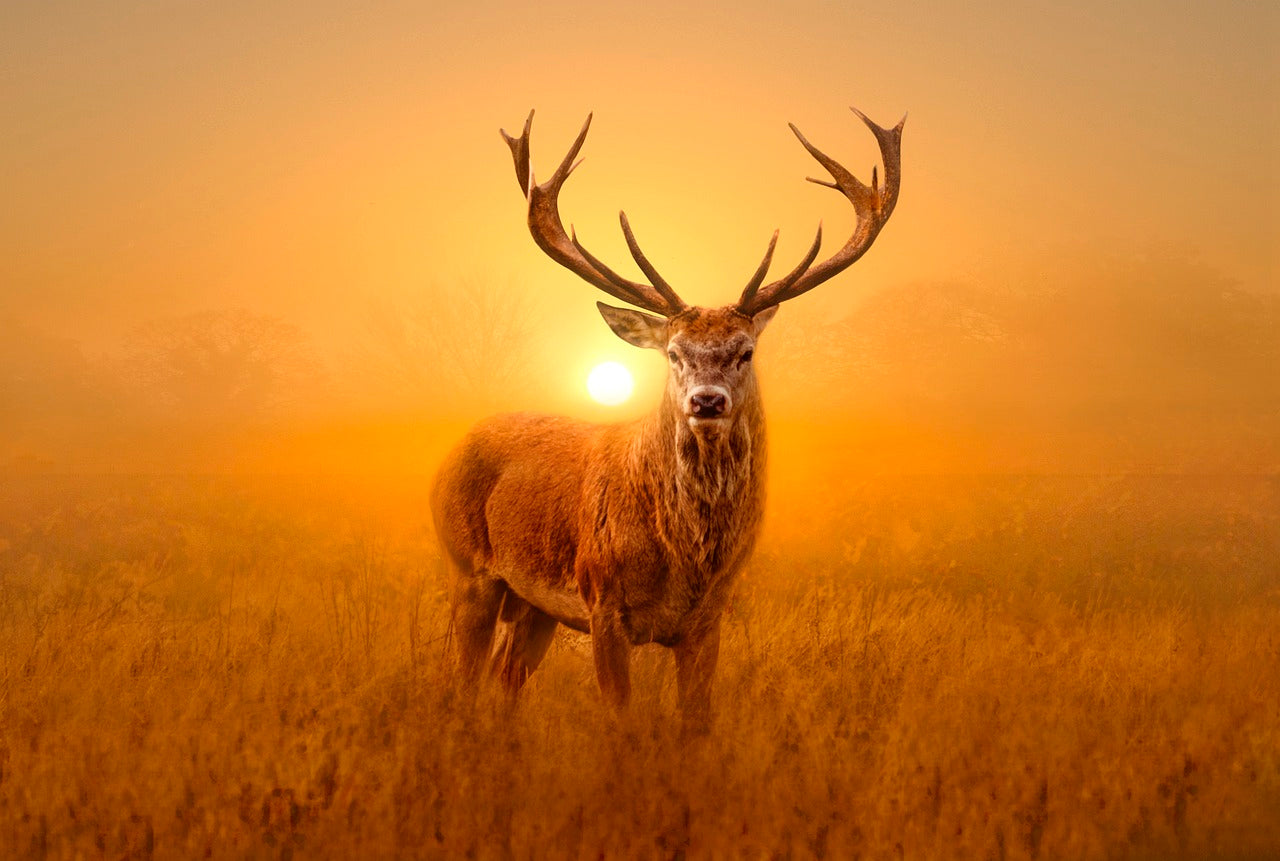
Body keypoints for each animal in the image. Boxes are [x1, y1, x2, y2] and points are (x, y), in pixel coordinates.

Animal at [431, 106, 903, 728]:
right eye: (673, 352)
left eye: (745, 351)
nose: (706, 401)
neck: (685, 564)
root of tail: (453, 451)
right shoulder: (602, 601)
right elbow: (621, 721)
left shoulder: (709, 618)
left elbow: (696, 724)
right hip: (470, 569)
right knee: (462, 683)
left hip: (535, 607)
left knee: (506, 681)